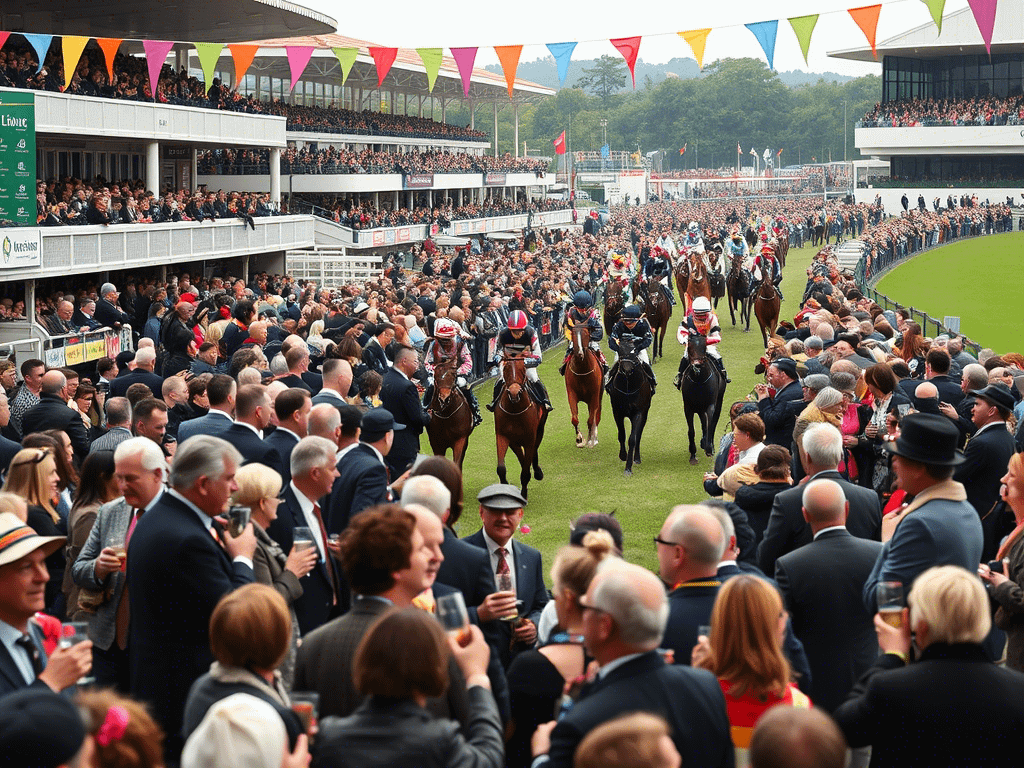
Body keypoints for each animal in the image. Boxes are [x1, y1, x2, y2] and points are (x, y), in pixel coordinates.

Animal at [493, 354, 548, 499]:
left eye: (523, 368)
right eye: (505, 368)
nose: (514, 393)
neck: (514, 410)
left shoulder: (530, 438)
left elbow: (525, 471)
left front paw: (524, 494)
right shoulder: (504, 436)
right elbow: (501, 468)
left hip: (540, 428)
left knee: (534, 448)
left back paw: (537, 472)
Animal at [606, 339, 647, 479]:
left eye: (634, 352)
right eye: (620, 351)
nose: (627, 370)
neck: (628, 387)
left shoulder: (639, 413)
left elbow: (633, 438)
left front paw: (628, 467)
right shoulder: (617, 412)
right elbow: (622, 435)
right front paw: (622, 455)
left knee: (639, 434)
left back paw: (637, 458)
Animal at [679, 335, 729, 466]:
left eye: (704, 347)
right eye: (690, 347)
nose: (697, 365)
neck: (699, 381)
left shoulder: (710, 405)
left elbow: (710, 424)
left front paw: (709, 448)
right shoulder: (688, 407)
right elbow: (691, 431)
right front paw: (693, 455)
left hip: (719, 401)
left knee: (714, 421)